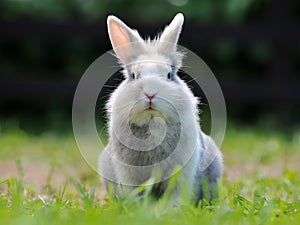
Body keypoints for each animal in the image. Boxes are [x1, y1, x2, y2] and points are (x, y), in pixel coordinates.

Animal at [99, 12, 223, 206]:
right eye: (133, 76)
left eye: (170, 75)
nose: (150, 93)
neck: (153, 123)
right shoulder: (129, 177)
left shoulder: (180, 174)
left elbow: (175, 195)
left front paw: (173, 209)